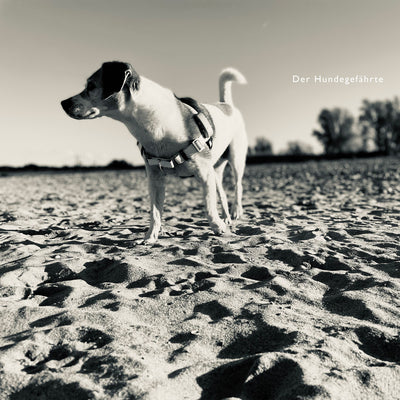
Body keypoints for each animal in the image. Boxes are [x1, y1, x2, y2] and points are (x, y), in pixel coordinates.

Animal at [61, 61, 247, 244]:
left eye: (91, 86)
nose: (63, 103)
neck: (155, 126)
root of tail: (226, 105)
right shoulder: (155, 179)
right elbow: (155, 213)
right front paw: (150, 236)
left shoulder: (204, 174)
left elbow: (209, 206)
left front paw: (217, 227)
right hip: (215, 170)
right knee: (222, 193)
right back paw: (226, 218)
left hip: (235, 160)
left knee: (237, 185)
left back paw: (235, 212)